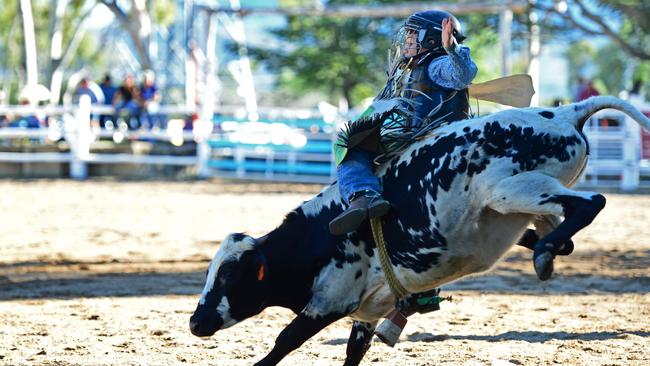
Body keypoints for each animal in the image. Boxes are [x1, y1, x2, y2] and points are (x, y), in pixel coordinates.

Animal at [189, 96, 648, 364]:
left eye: (230, 275)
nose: (196, 322)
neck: (318, 237)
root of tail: (564, 114)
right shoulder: (368, 313)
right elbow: (353, 352)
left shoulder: (329, 301)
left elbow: (284, 342)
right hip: (524, 200)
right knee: (566, 227)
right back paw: (547, 250)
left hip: (511, 190)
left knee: (591, 203)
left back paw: (543, 256)